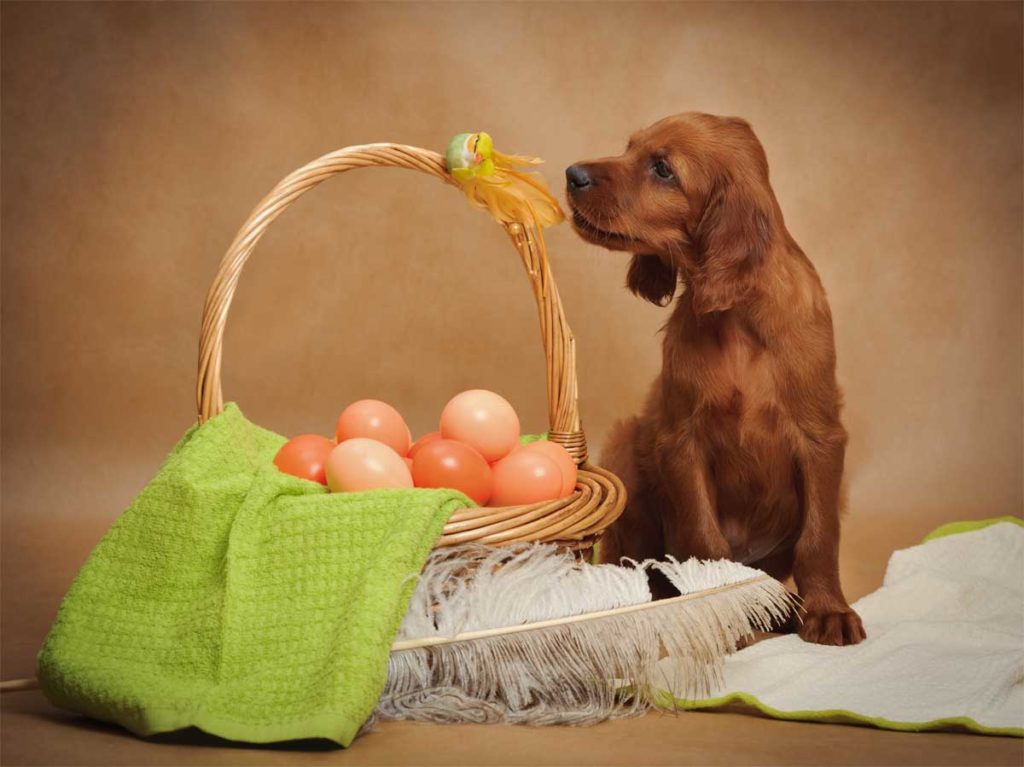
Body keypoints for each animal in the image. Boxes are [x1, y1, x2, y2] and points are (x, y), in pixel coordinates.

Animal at [569, 110, 864, 643]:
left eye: (663, 169)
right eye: (629, 148)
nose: (571, 174)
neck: (738, 319)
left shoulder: (822, 438)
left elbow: (819, 536)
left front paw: (828, 611)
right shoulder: (681, 441)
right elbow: (705, 539)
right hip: (625, 446)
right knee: (640, 567)